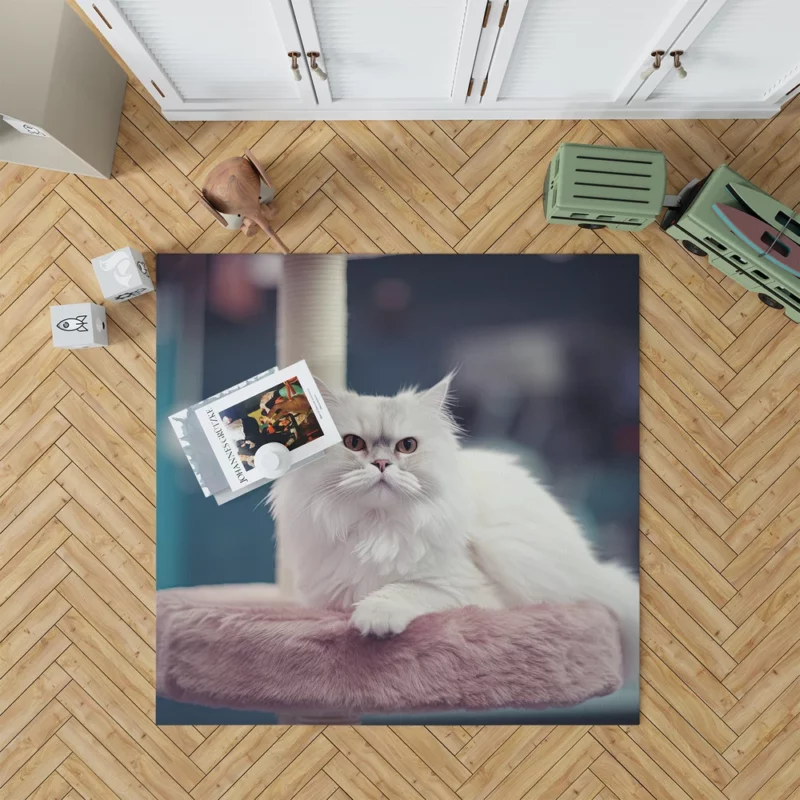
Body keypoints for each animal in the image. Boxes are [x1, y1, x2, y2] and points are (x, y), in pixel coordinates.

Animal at [272, 376, 640, 680]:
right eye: (353, 444)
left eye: (407, 446)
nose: (381, 464)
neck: (378, 528)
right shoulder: (329, 598)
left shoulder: (467, 589)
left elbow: (401, 589)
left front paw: (375, 617)